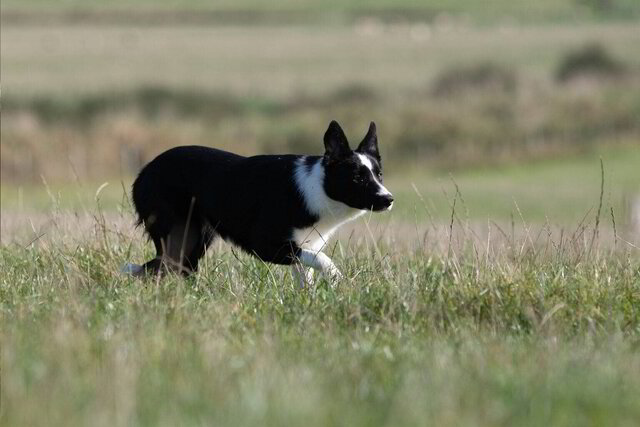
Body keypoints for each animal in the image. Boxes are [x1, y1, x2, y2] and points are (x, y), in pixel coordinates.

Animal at [122, 120, 392, 284]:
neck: (317, 188)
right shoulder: (265, 245)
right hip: (181, 235)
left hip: (196, 239)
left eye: (379, 175)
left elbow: (307, 276)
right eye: (357, 178)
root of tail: (143, 172)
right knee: (155, 269)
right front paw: (336, 278)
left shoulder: (305, 245)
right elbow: (323, 260)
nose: (388, 199)